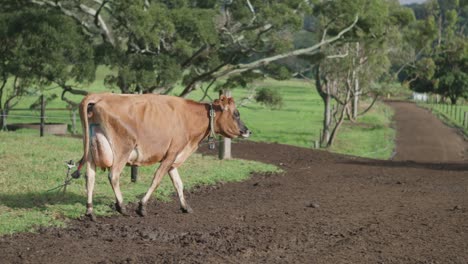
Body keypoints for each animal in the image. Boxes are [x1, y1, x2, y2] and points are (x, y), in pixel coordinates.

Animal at [74, 92, 249, 220]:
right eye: (236, 113)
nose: (247, 131)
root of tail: (101, 96)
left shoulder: (174, 157)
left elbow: (178, 183)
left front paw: (185, 207)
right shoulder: (172, 153)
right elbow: (157, 179)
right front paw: (142, 207)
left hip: (91, 150)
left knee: (90, 177)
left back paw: (90, 211)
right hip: (123, 149)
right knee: (113, 175)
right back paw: (122, 207)